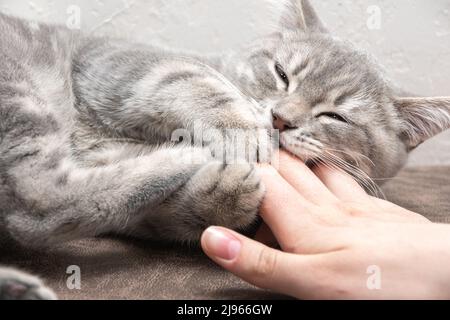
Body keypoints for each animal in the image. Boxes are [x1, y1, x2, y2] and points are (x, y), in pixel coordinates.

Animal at [0, 0, 450, 300]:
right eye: (281, 74)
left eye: (335, 116)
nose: (280, 119)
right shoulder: (117, 62)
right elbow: (192, 79)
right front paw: (239, 130)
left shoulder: (122, 182)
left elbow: (156, 214)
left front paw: (223, 195)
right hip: (21, 89)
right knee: (36, 201)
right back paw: (187, 154)